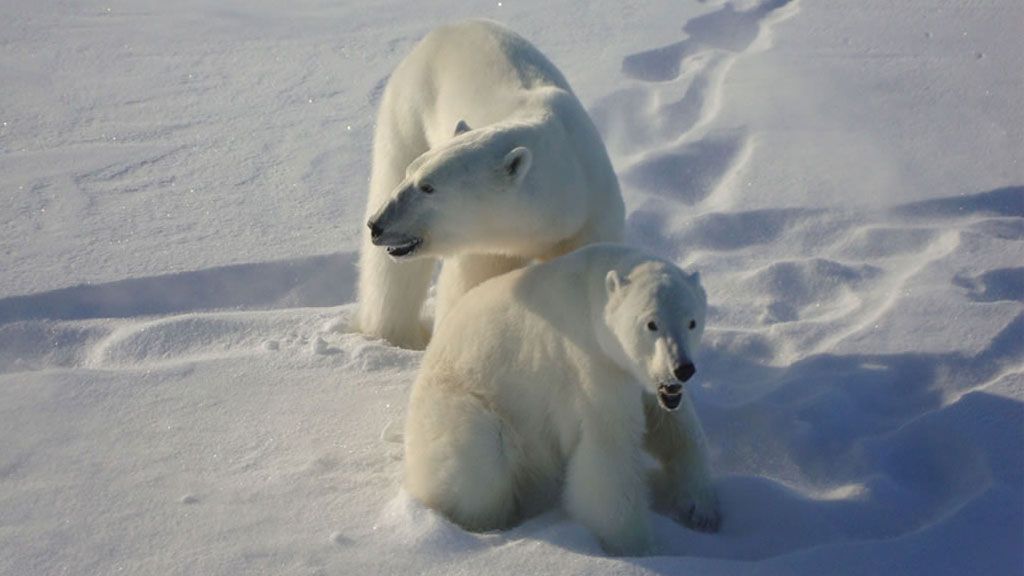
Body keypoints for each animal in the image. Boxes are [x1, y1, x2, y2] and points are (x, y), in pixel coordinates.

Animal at [352, 20, 622, 348]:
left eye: (428, 187)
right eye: (412, 175)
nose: (377, 225)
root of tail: (448, 28)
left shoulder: (591, 218)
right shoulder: (485, 244)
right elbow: (468, 290)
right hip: (407, 110)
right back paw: (395, 334)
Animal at [401, 242, 720, 557]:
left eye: (692, 322)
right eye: (651, 323)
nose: (683, 368)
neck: (593, 297)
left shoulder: (644, 381)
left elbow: (673, 427)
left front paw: (702, 509)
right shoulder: (589, 364)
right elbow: (608, 452)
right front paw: (633, 545)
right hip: (459, 404)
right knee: (480, 461)